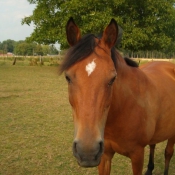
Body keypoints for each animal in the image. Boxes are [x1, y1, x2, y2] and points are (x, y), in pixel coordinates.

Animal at [59, 18, 175, 175]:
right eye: (68, 77)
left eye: (112, 78)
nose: (87, 152)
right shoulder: (105, 155)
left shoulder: (137, 155)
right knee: (153, 145)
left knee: (168, 153)